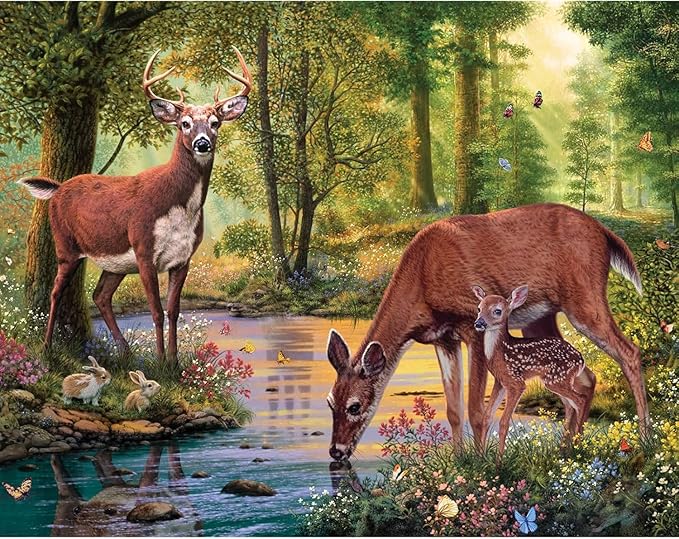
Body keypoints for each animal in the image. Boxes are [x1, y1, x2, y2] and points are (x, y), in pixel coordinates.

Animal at [19, 48, 252, 362]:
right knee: (56, 292)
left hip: (115, 263)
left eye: (215, 123)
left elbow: (173, 311)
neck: (179, 207)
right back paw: (47, 347)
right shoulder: (144, 250)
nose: (202, 144)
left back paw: (125, 352)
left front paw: (174, 362)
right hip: (66, 244)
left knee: (100, 295)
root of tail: (57, 188)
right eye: (185, 123)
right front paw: (161, 362)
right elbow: (156, 311)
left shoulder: (183, 258)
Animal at [472, 284, 596, 459]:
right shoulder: (500, 381)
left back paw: (576, 447)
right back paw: (563, 450)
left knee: (580, 400)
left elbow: (503, 422)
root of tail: (581, 359)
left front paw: (499, 462)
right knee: (570, 405)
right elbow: (487, 417)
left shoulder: (516, 382)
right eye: (479, 308)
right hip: (556, 380)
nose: (479, 323)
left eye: (497, 310)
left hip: (557, 379)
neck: (500, 352)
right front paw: (481, 458)